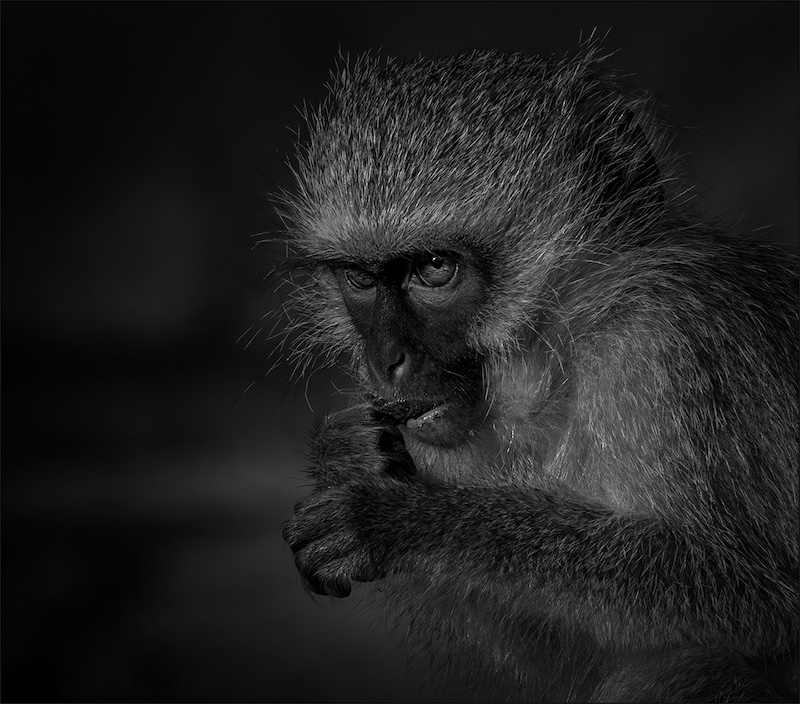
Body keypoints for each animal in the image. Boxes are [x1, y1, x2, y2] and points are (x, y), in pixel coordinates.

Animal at [279, 48, 799, 702]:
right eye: (361, 279)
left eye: (435, 268)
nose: (384, 359)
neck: (563, 350)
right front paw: (346, 452)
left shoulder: (674, 345)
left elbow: (756, 600)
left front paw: (405, 522)